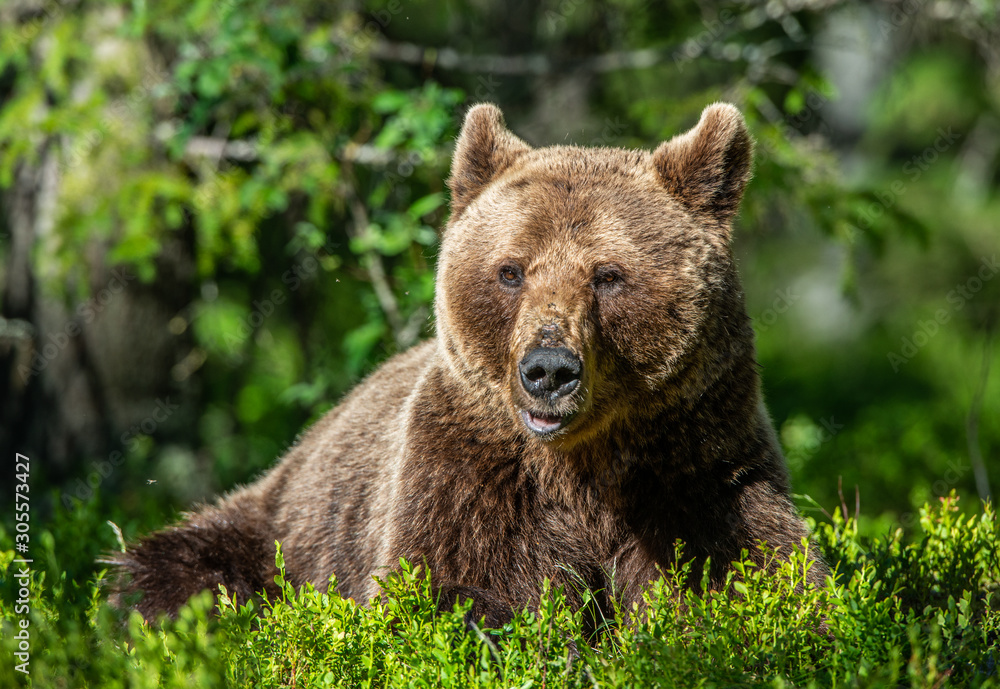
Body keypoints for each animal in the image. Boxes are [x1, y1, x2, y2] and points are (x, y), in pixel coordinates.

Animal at [115, 102, 828, 624]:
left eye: (608, 275)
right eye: (511, 270)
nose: (549, 370)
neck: (584, 465)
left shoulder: (699, 467)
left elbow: (752, 576)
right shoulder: (468, 476)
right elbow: (453, 595)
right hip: (279, 529)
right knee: (172, 570)